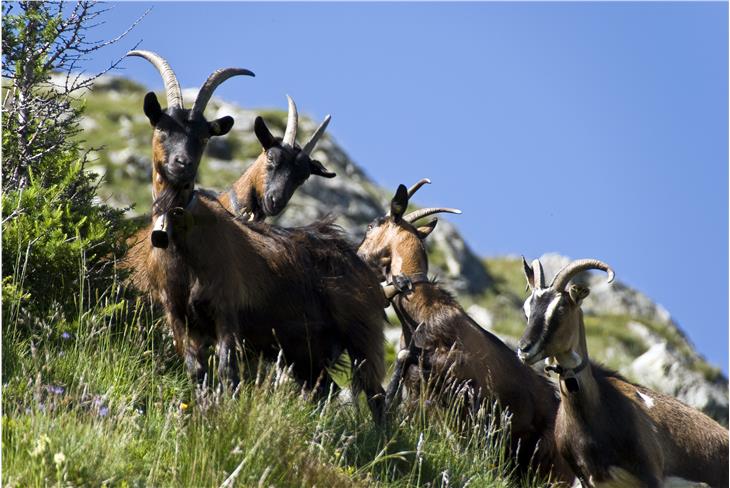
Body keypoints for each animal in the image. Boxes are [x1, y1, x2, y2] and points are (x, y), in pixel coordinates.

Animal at [356, 181, 576, 482]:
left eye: (370, 226)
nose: (357, 255)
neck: (423, 310)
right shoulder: (418, 387)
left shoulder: (455, 373)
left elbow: (405, 359)